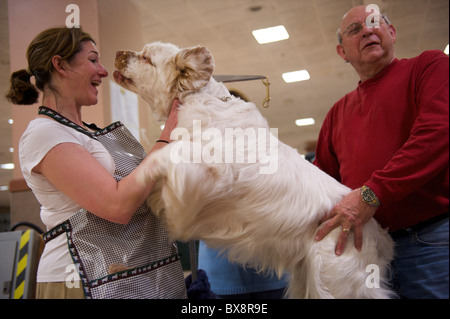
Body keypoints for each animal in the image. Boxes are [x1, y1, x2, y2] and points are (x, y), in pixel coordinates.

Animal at [113, 42, 394, 300]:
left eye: (146, 57)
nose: (117, 52)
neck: (196, 98)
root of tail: (377, 233)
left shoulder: (213, 170)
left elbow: (165, 156)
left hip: (334, 279)